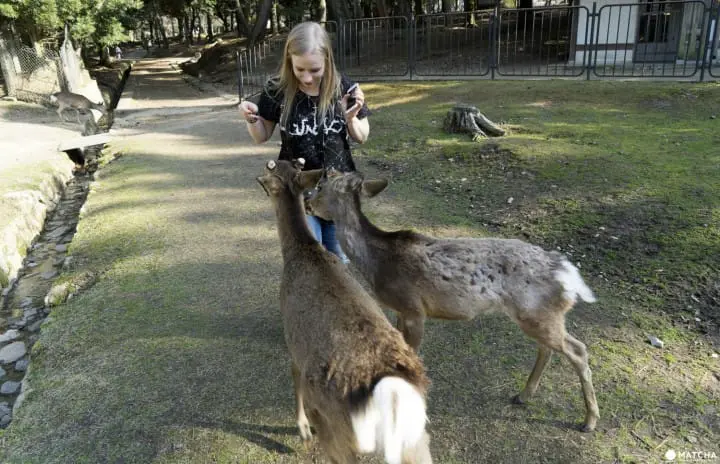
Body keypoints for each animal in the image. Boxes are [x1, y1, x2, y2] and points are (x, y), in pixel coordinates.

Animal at [256, 159, 433, 464]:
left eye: (270, 167)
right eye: (286, 163)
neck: (301, 253)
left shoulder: (293, 340)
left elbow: (294, 377)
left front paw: (302, 429)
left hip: (337, 426)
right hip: (416, 435)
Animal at [306, 170, 600, 433]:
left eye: (321, 186)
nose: (307, 202)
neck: (379, 265)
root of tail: (566, 272)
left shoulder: (414, 308)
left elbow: (412, 357)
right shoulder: (401, 310)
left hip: (537, 313)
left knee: (578, 350)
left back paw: (589, 421)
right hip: (539, 314)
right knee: (548, 349)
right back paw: (523, 396)